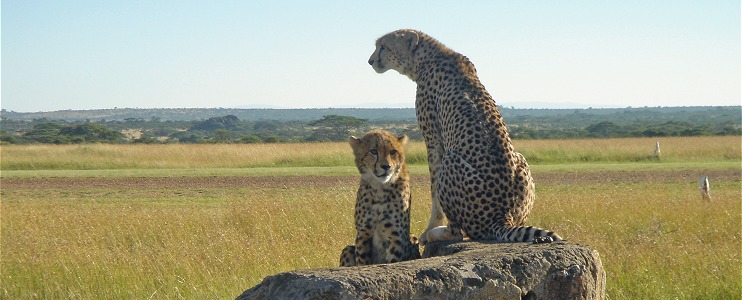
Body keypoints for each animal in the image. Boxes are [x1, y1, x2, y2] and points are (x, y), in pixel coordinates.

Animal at [340, 130, 422, 266]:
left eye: (393, 152)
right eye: (373, 151)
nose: (386, 166)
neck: (380, 189)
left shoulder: (395, 237)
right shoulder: (363, 234)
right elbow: (362, 262)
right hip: (348, 249)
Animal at [372, 28, 564, 244]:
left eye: (383, 47)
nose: (371, 61)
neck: (427, 57)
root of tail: (502, 218)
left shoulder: (433, 140)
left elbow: (434, 192)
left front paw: (430, 227)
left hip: (450, 160)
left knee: (456, 231)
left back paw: (433, 234)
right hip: (520, 161)